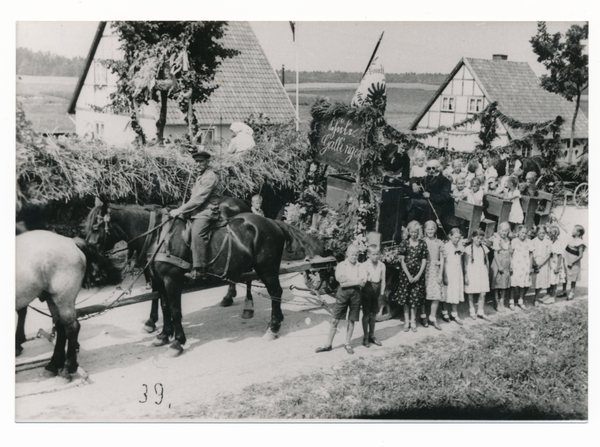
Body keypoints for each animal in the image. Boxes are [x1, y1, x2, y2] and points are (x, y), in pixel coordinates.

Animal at [16, 231, 120, 382]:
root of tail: (70, 241)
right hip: (52, 298)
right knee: (60, 326)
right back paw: (53, 365)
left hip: (63, 297)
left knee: (72, 327)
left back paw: (67, 368)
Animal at [84, 201, 324, 358]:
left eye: (96, 226)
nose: (89, 254)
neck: (159, 237)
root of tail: (273, 223)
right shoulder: (159, 281)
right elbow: (164, 307)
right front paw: (163, 334)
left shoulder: (171, 280)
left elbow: (175, 311)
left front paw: (177, 342)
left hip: (267, 268)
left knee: (275, 292)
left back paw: (272, 327)